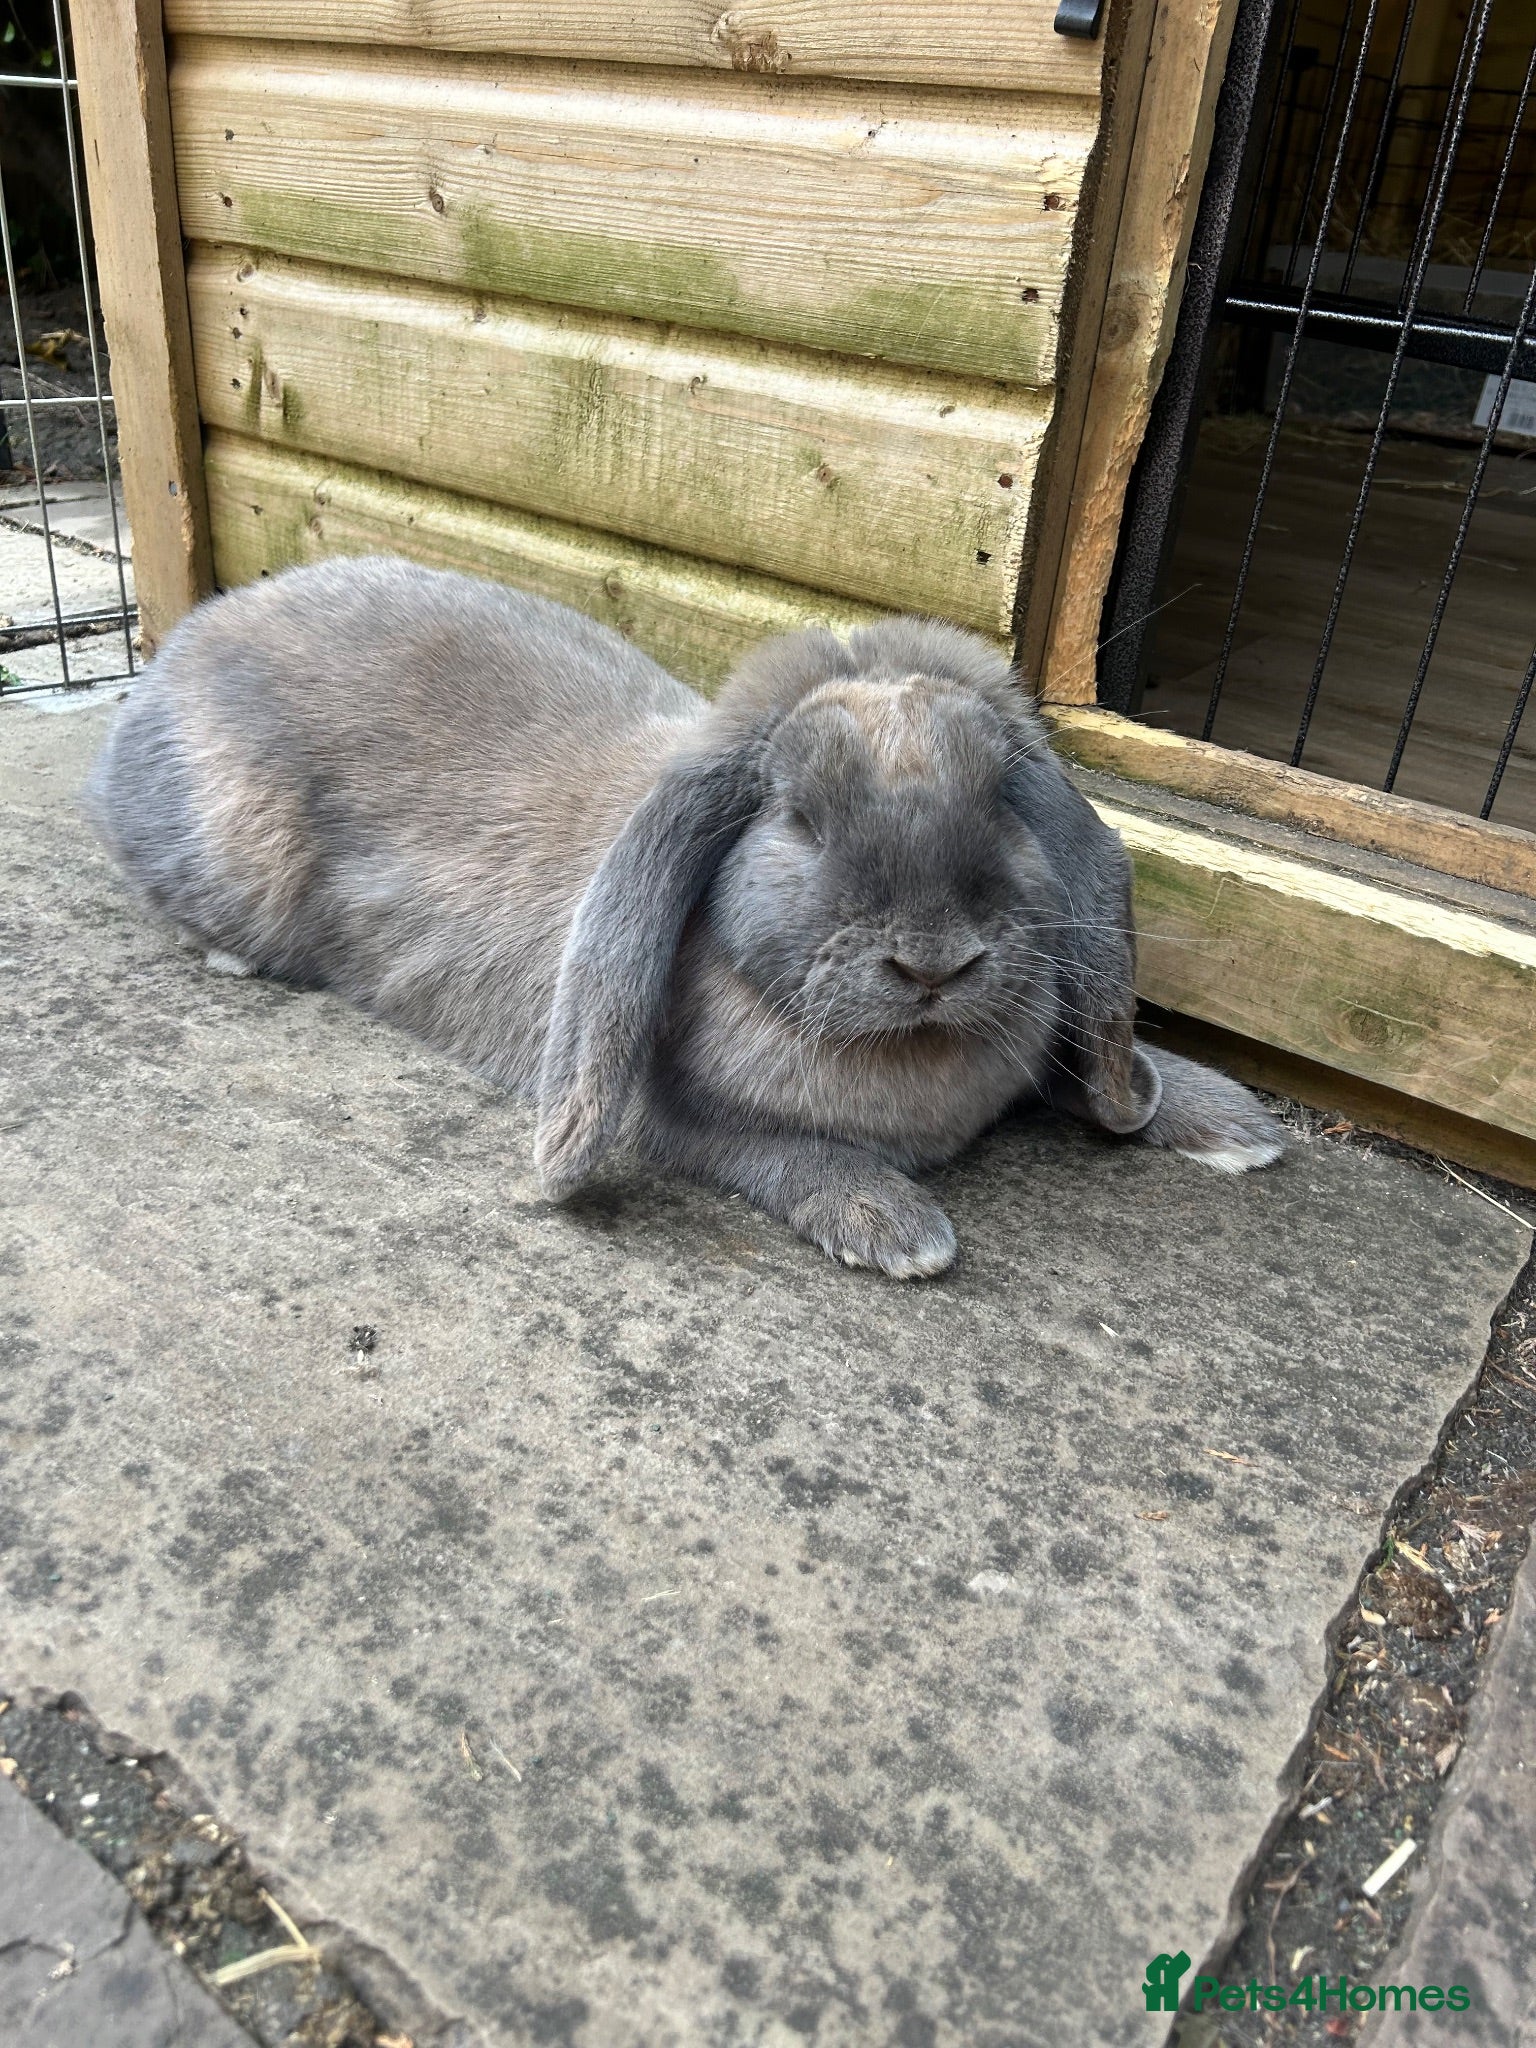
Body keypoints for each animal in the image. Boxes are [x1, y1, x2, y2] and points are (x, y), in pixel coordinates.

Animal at [89, 556, 1283, 1277]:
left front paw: (1230, 1121)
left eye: (1002, 800)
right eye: (798, 818)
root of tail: (178, 654)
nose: (935, 962)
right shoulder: (677, 1123)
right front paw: (894, 1227)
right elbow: (782, 1154)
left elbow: (1090, 1077)